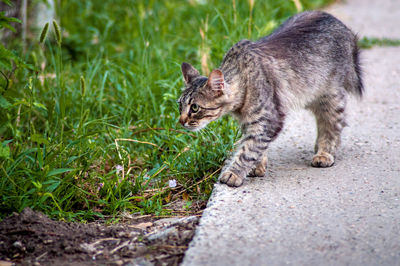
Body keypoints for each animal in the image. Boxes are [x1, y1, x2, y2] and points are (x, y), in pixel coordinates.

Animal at [178, 10, 362, 187]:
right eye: (179, 105)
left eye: (194, 107)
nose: (181, 121)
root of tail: (340, 24)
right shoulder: (250, 122)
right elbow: (254, 146)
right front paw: (257, 166)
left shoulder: (269, 119)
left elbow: (248, 150)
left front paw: (234, 173)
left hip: (330, 97)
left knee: (333, 125)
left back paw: (325, 153)